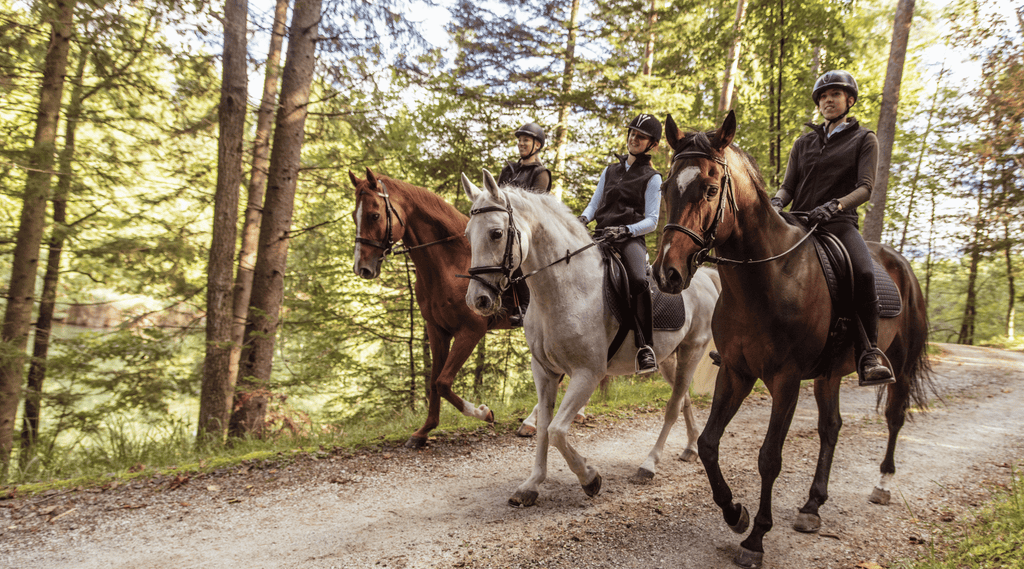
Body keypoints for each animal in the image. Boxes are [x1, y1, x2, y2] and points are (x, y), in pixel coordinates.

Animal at [352, 169, 512, 448]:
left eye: (374, 215)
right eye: (354, 216)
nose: (362, 268)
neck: (450, 263)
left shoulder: (471, 331)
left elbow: (443, 382)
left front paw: (484, 413)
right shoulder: (437, 330)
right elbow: (434, 383)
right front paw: (424, 431)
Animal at [464, 169, 720, 507]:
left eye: (495, 233)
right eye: (468, 235)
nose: (477, 300)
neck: (565, 288)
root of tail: (704, 277)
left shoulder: (588, 373)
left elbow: (558, 430)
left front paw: (589, 478)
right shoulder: (544, 372)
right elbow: (544, 428)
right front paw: (531, 485)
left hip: (692, 350)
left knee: (673, 407)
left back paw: (649, 464)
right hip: (668, 359)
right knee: (685, 399)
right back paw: (690, 448)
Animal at [651, 112, 933, 569]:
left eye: (710, 189)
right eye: (665, 188)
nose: (667, 274)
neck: (768, 276)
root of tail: (899, 262)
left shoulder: (784, 381)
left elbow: (769, 457)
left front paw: (755, 539)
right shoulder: (736, 372)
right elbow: (709, 444)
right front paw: (735, 513)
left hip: (900, 363)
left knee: (894, 416)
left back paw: (883, 483)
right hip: (828, 375)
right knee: (831, 428)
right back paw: (812, 506)